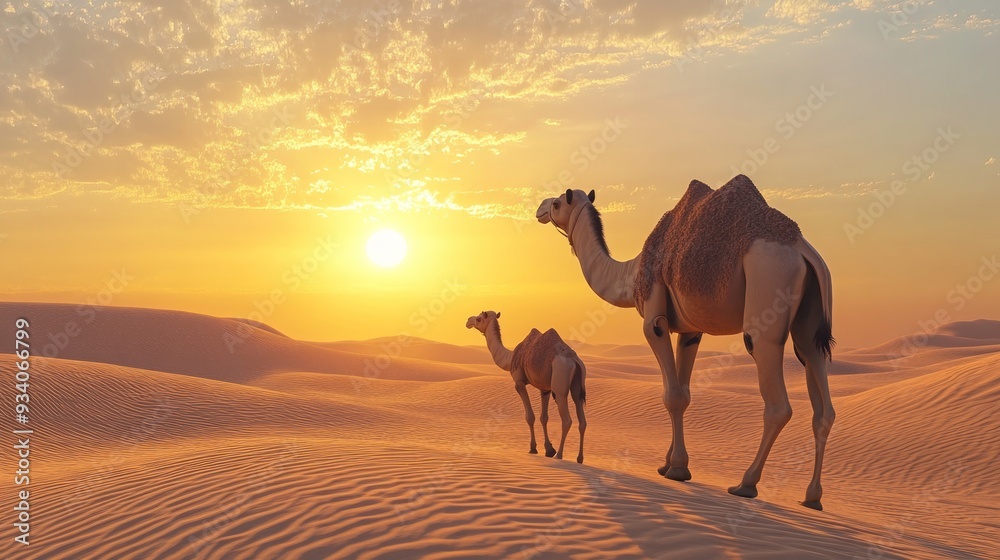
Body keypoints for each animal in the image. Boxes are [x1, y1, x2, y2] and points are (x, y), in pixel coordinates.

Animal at [466, 311, 588, 463]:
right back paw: (579, 458)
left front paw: (533, 448)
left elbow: (530, 416)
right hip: (578, 385)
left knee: (566, 420)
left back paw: (559, 455)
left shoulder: (519, 382)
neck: (510, 357)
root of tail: (574, 360)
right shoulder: (545, 389)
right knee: (582, 418)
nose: (468, 321)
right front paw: (549, 449)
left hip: (560, 386)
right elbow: (544, 417)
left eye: (478, 319)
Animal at [535, 175, 836, 510]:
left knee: (777, 400)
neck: (630, 273)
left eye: (557, 203)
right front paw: (667, 464)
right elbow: (684, 393)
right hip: (809, 320)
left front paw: (678, 469)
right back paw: (812, 497)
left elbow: (673, 395)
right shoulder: (690, 331)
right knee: (820, 392)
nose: (539, 209)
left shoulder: (654, 320)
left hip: (768, 290)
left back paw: (746, 484)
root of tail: (802, 250)